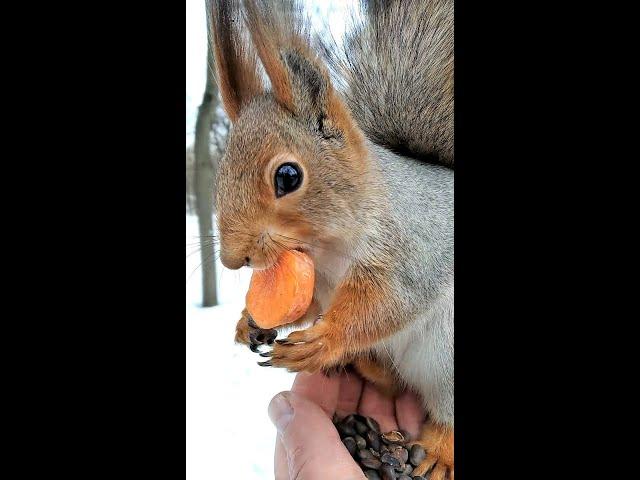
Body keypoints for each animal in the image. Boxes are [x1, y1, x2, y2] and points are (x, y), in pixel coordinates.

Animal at [208, 0, 452, 476]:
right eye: (221, 172)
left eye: (288, 176)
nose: (231, 259)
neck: (327, 253)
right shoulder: (317, 285)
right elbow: (307, 306)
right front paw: (250, 320)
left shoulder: (413, 247)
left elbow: (389, 302)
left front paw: (326, 340)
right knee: (394, 385)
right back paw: (367, 366)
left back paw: (436, 451)